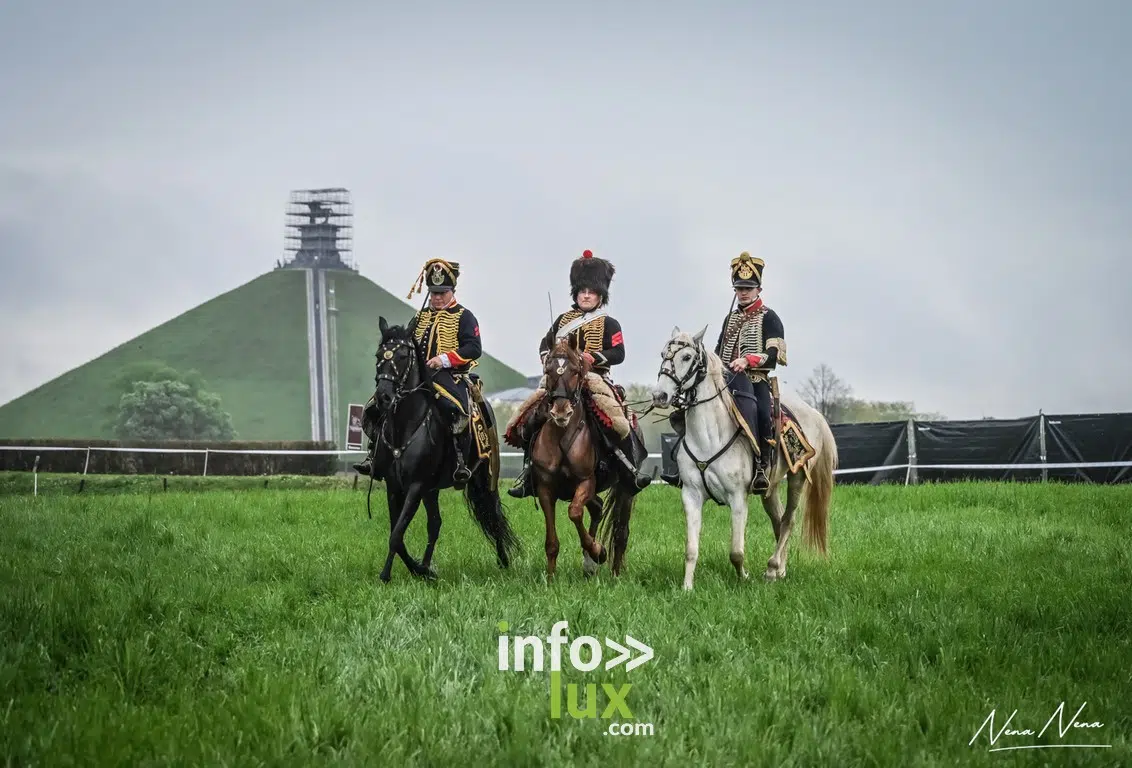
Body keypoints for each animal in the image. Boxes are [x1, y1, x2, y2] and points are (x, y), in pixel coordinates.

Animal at [364, 316, 521, 583]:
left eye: (403, 355)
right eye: (378, 355)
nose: (384, 397)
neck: (405, 426)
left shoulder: (416, 485)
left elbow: (396, 535)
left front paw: (388, 574)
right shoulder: (394, 485)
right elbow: (398, 534)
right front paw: (420, 569)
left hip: (482, 479)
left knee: (492, 515)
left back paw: (503, 560)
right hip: (432, 489)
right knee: (435, 524)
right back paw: (427, 566)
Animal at [526, 336, 641, 580]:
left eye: (576, 371)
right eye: (548, 370)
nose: (561, 412)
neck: (561, 436)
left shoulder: (586, 482)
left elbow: (575, 512)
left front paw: (598, 551)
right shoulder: (545, 489)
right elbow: (552, 541)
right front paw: (551, 578)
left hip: (625, 490)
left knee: (620, 531)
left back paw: (615, 572)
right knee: (598, 509)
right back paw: (590, 565)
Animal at [651, 325, 838, 589]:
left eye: (687, 357)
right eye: (662, 354)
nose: (660, 395)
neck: (709, 437)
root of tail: (813, 413)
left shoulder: (738, 497)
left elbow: (736, 552)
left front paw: (744, 578)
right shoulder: (691, 495)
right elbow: (691, 549)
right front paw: (687, 588)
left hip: (797, 477)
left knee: (789, 520)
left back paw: (771, 569)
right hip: (771, 487)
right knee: (778, 520)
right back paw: (780, 569)